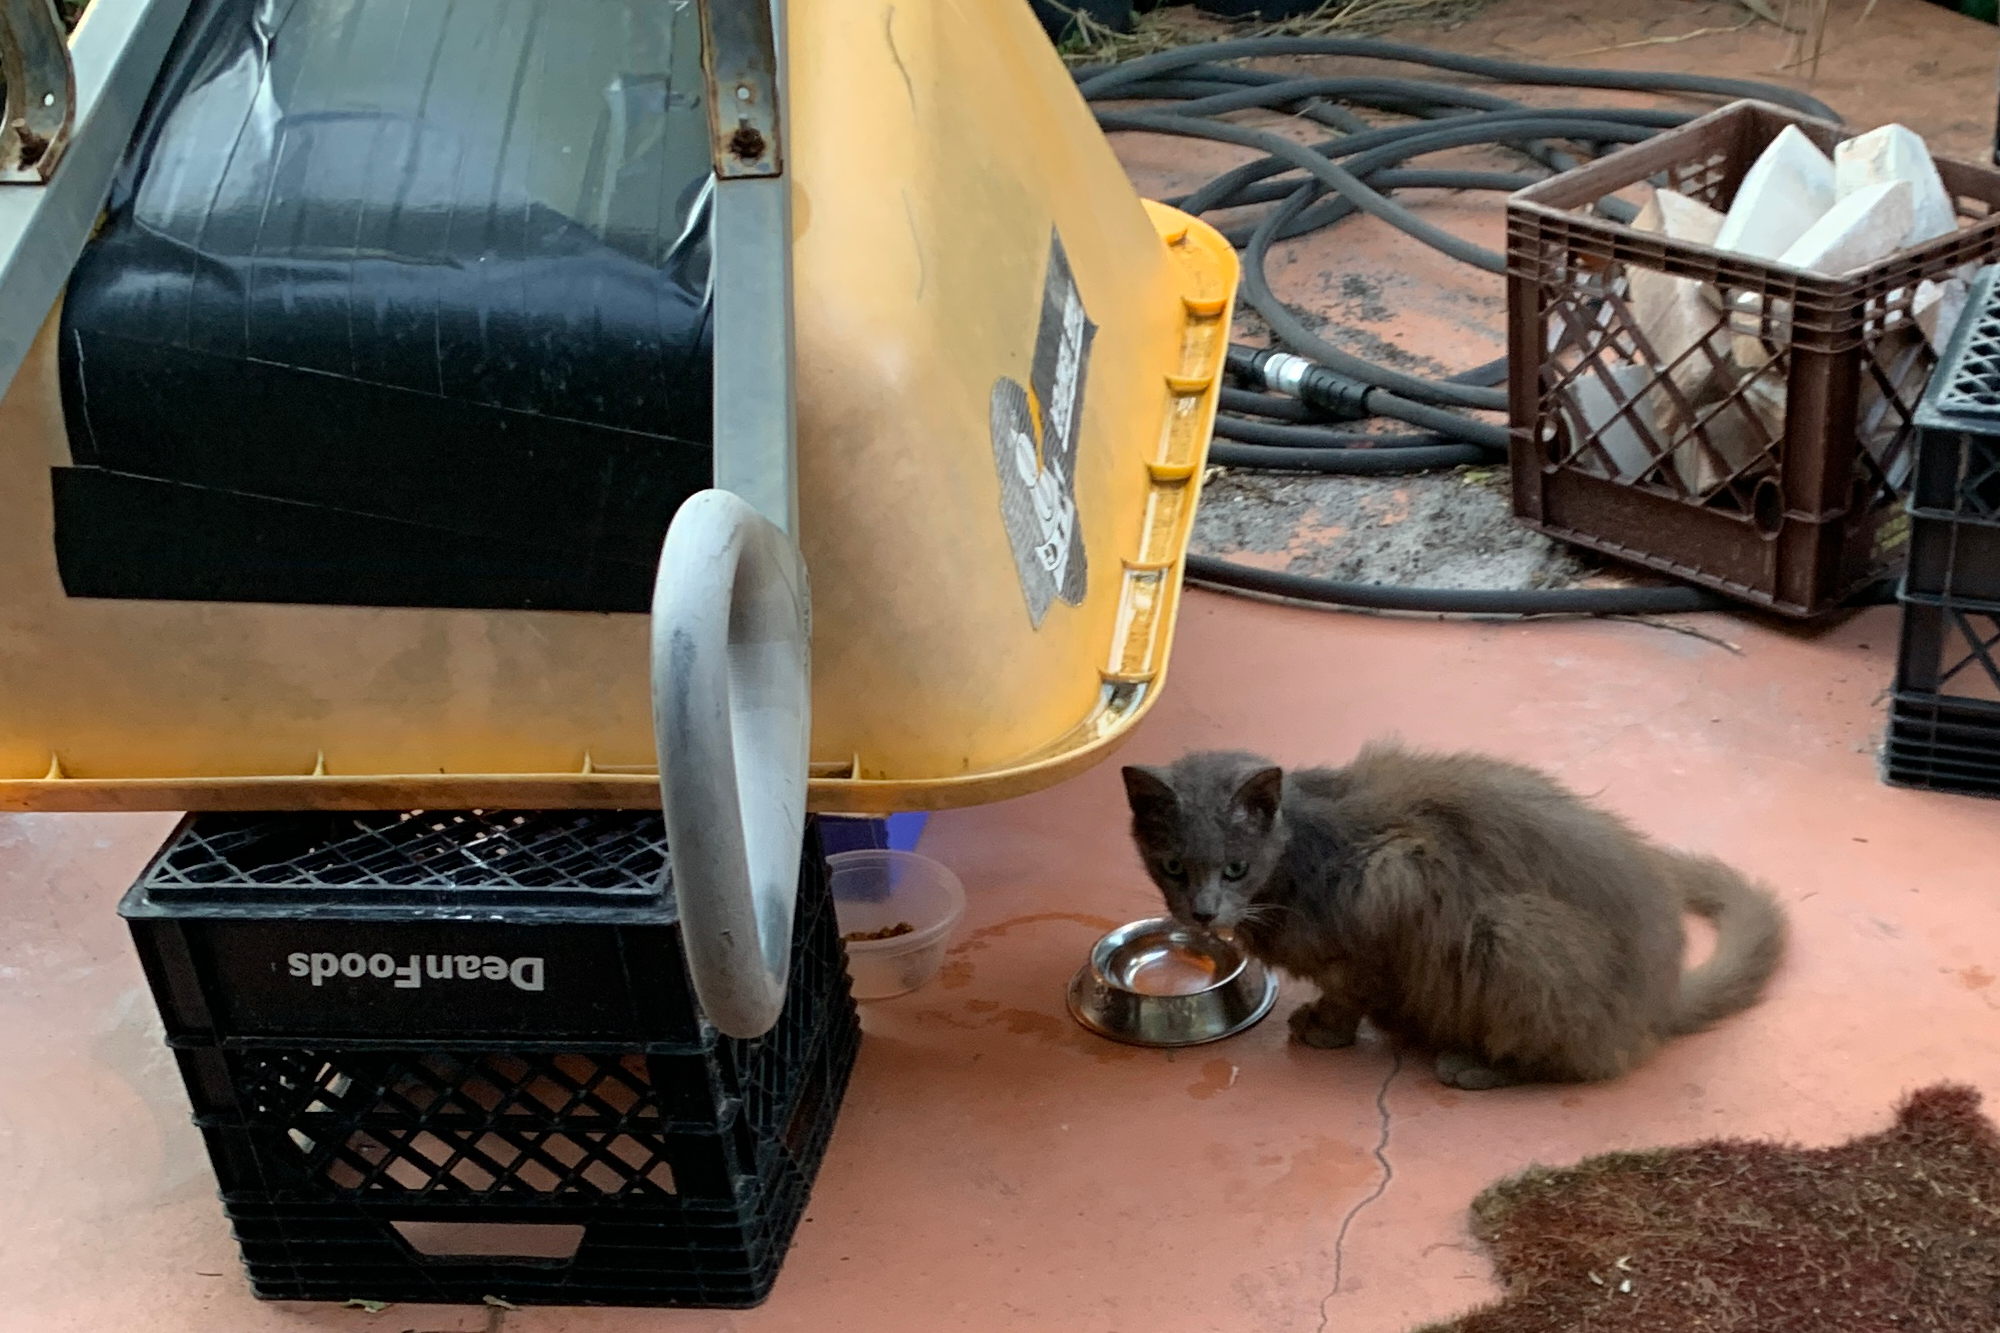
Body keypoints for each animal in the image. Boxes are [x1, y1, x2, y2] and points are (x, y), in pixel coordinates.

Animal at [1120, 740, 1792, 1088]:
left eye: (1235, 868)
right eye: (1173, 866)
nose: (1202, 912)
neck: (1292, 860)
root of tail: (1657, 1001)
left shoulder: (1392, 882)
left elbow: (1347, 990)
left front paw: (1325, 1030)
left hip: (1507, 936)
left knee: (1579, 1061)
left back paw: (1472, 1064)